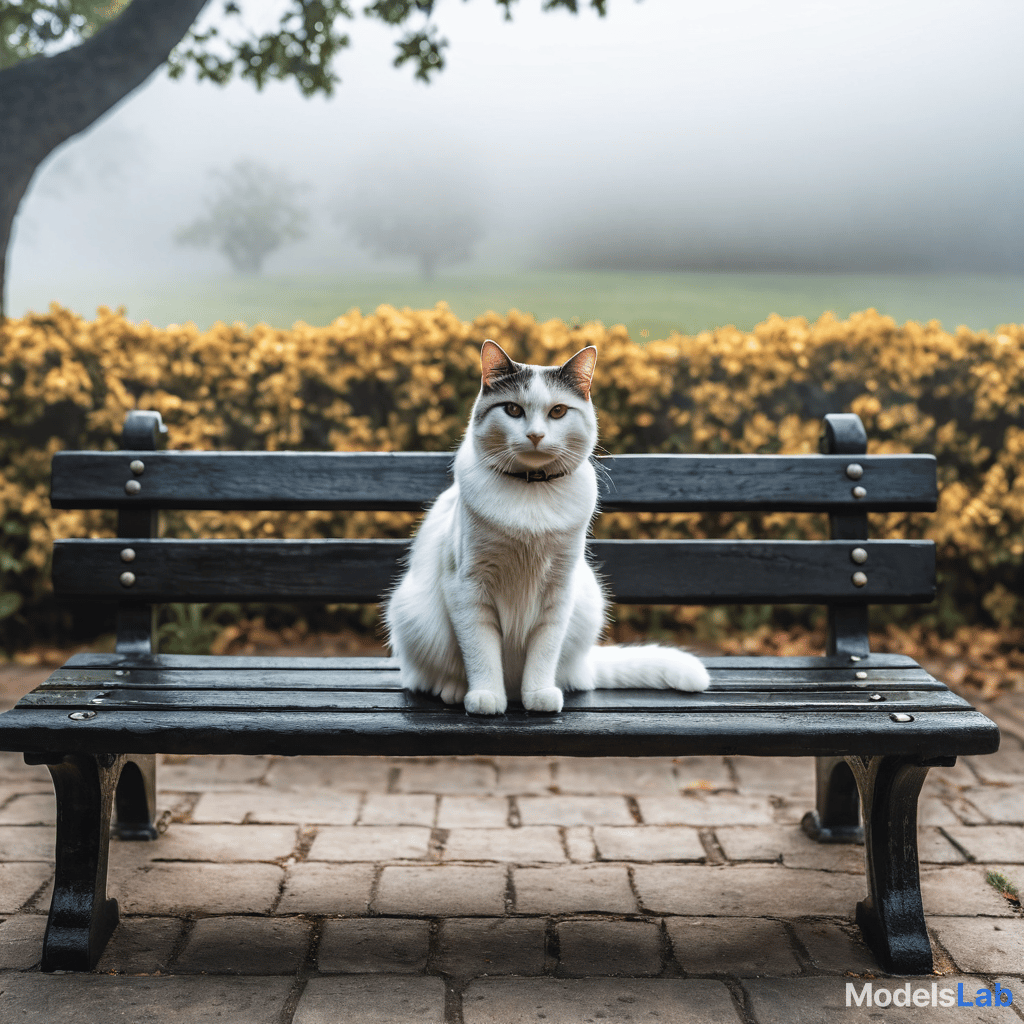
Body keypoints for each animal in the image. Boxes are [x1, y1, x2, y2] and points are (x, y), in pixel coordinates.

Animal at [385, 339, 712, 716]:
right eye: (513, 410)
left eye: (557, 412)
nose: (536, 435)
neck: (532, 491)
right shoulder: (468, 586)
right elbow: (481, 651)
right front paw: (486, 696)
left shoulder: (559, 588)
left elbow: (544, 651)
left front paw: (539, 695)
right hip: (414, 614)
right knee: (428, 674)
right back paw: (455, 690)